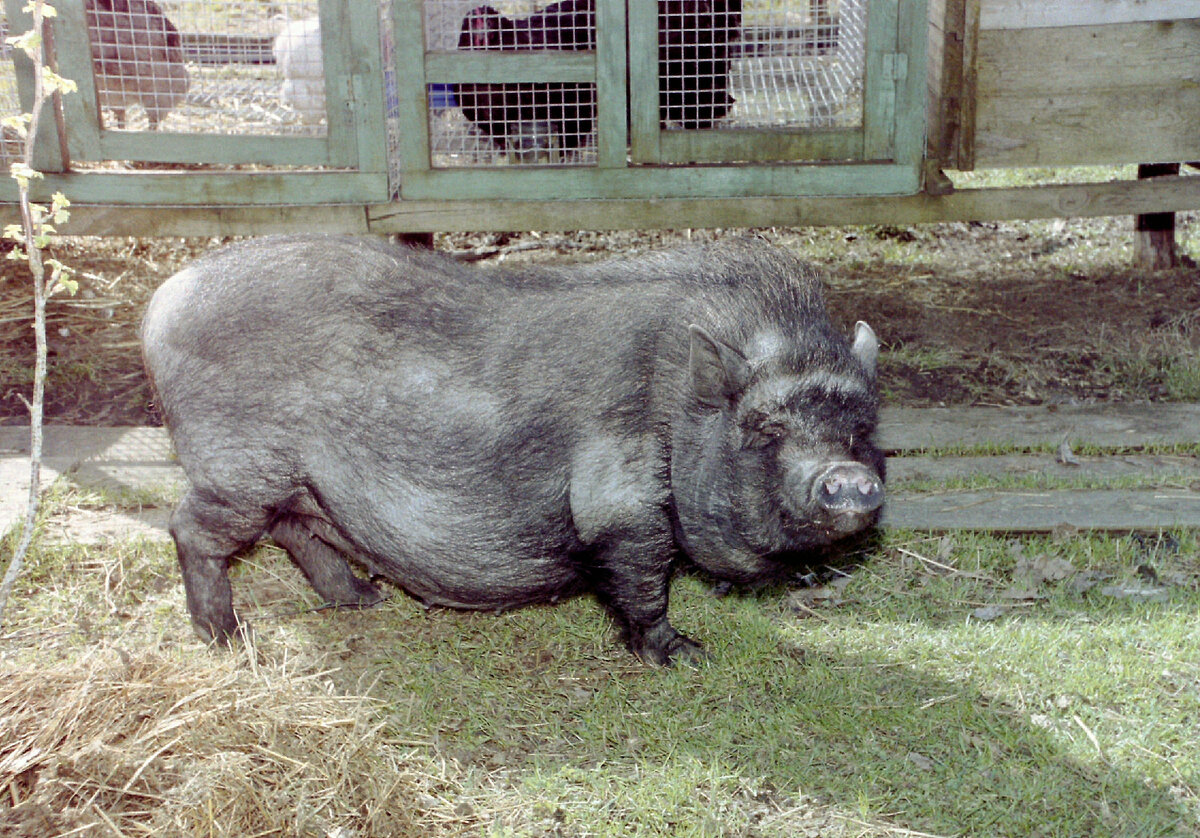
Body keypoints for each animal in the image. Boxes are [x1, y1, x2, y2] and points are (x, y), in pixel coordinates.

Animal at [145, 236, 888, 667]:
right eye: (765, 430)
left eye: (861, 427)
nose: (848, 478)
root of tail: (161, 302)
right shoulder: (622, 508)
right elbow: (643, 584)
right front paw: (687, 656)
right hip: (236, 471)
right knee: (191, 531)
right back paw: (227, 640)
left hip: (293, 481)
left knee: (297, 532)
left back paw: (363, 600)